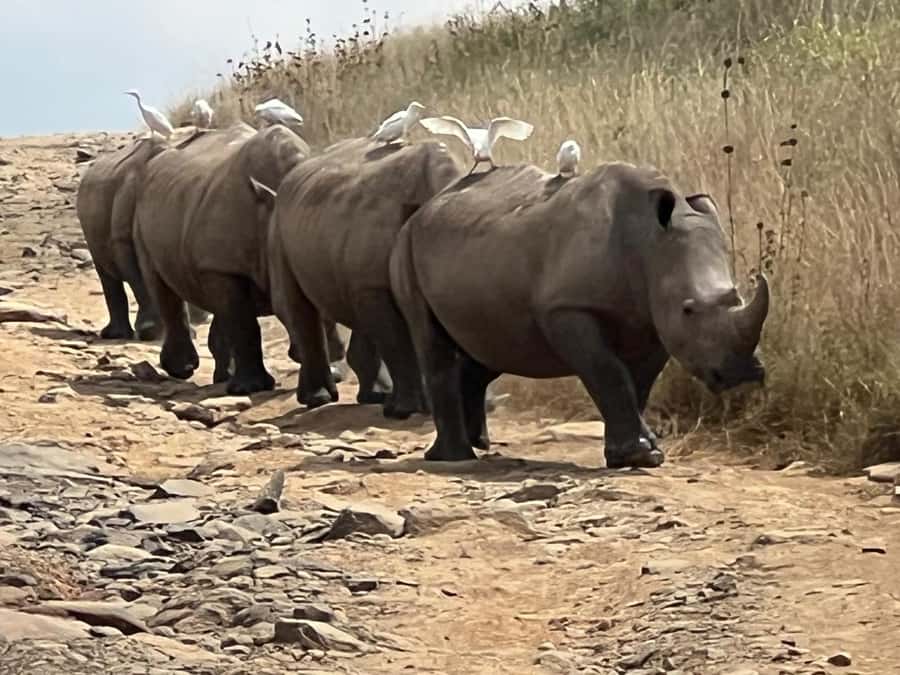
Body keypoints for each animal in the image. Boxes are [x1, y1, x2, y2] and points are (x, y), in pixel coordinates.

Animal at [133, 122, 348, 394]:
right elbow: (245, 324)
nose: (337, 353)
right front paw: (251, 388)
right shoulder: (222, 266)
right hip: (143, 214)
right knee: (163, 287)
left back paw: (224, 377)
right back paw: (184, 370)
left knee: (218, 306)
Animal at [268, 137, 463, 416]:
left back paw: (375, 397)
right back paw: (319, 399)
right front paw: (404, 411)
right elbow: (396, 343)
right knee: (299, 306)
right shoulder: (374, 286)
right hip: (279, 226)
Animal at [390, 162, 769, 468]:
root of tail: (424, 208)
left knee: (490, 346)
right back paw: (454, 458)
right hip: (405, 246)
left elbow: (638, 381)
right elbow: (608, 371)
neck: (648, 243)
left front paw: (632, 455)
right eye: (688, 309)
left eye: (736, 296)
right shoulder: (567, 307)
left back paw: (477, 443)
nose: (741, 374)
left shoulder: (652, 319)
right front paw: (640, 453)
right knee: (432, 343)